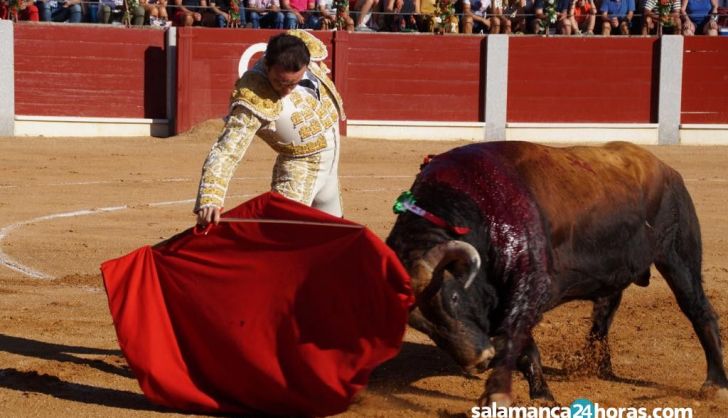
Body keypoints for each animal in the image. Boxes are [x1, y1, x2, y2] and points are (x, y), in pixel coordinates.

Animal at [386, 140, 728, 404]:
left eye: (454, 297)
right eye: (420, 326)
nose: (478, 360)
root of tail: (666, 169)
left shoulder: (529, 289)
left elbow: (513, 340)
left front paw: (499, 394)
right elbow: (526, 348)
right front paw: (541, 395)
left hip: (678, 255)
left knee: (698, 310)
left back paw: (715, 384)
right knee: (605, 311)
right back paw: (597, 367)